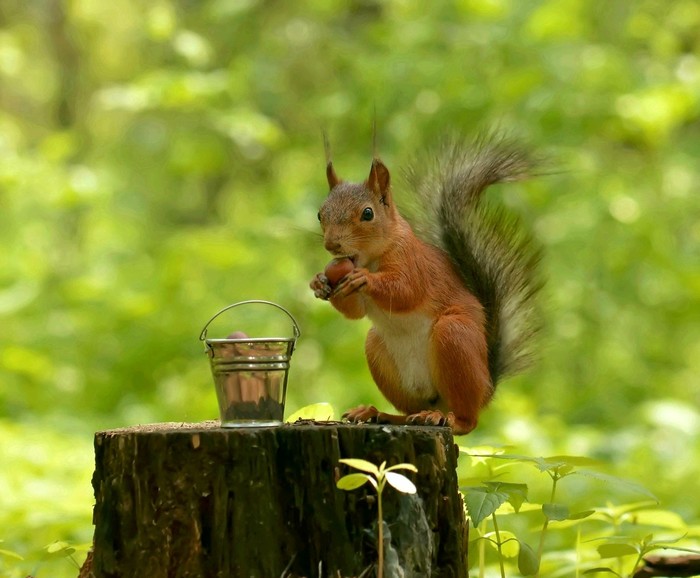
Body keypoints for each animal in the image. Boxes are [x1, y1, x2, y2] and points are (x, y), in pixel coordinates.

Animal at [308, 133, 544, 434]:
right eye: (320, 214)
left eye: (368, 214)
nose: (332, 245)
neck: (371, 258)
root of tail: (487, 387)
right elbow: (355, 311)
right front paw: (319, 283)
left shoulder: (415, 265)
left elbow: (406, 291)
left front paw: (365, 279)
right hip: (379, 352)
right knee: (411, 410)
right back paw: (379, 413)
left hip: (454, 336)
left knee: (467, 421)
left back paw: (447, 419)